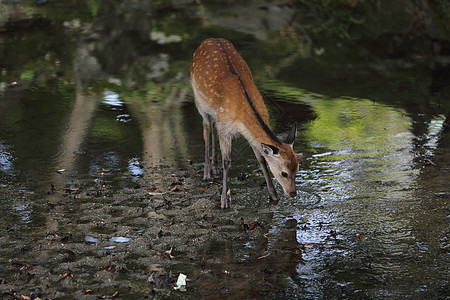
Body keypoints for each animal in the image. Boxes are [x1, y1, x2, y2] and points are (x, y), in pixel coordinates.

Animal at [190, 38, 302, 209]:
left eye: (297, 169)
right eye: (284, 173)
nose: (293, 193)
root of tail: (209, 39)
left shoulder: (245, 133)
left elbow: (261, 159)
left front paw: (274, 196)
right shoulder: (225, 128)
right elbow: (227, 162)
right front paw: (223, 201)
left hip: (216, 114)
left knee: (213, 128)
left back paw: (214, 168)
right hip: (199, 102)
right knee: (206, 127)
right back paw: (207, 173)